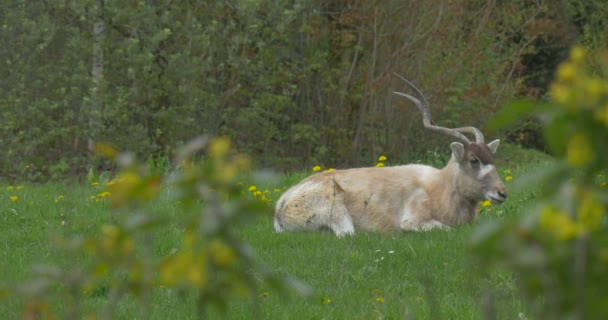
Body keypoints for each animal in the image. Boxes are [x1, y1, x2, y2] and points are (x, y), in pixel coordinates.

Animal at [274, 74, 506, 235]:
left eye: (492, 159)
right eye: (473, 160)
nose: (502, 193)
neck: (439, 186)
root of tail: (282, 205)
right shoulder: (414, 220)